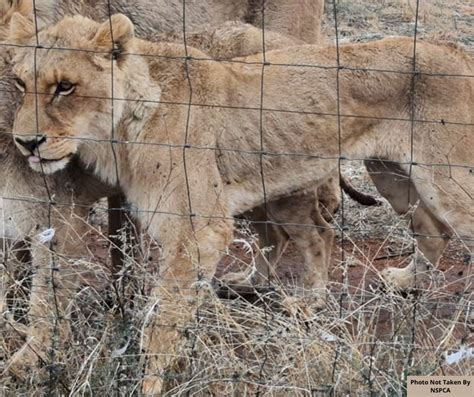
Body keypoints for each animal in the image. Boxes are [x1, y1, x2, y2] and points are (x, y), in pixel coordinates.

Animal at [9, 13, 472, 392]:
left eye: (65, 87)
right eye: (20, 84)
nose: (26, 143)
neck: (121, 128)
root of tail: (454, 48)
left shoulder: (199, 227)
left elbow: (161, 319)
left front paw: (150, 380)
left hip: (445, 178)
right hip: (385, 172)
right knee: (418, 232)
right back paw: (378, 287)